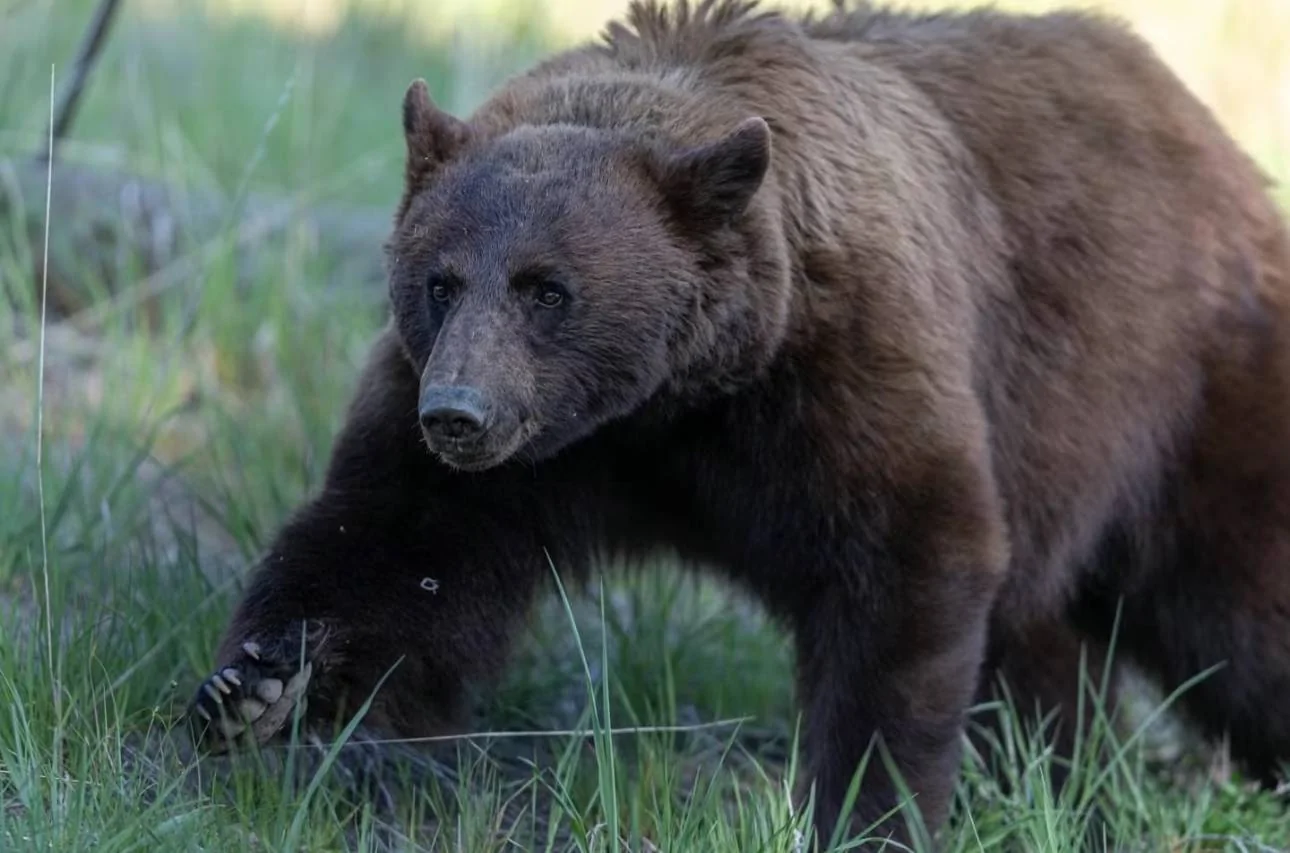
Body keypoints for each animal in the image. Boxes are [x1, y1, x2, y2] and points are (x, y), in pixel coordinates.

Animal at [186, 0, 1290, 846]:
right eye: (439, 279)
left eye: (548, 289)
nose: (458, 414)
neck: (671, 395)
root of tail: (1214, 140)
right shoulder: (534, 455)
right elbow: (397, 546)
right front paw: (258, 690)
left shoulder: (840, 370)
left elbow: (902, 568)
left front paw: (868, 809)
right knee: (1036, 633)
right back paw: (1056, 777)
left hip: (1171, 384)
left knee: (1240, 603)